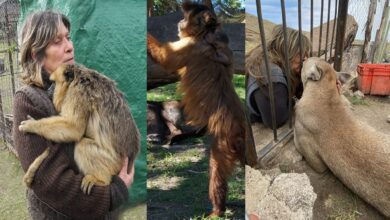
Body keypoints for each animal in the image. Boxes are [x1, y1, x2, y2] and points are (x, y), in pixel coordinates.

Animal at [148, 0, 245, 217]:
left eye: (184, 18)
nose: (179, 22)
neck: (203, 35)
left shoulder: (192, 45)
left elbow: (165, 58)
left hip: (225, 137)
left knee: (216, 165)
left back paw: (217, 210)